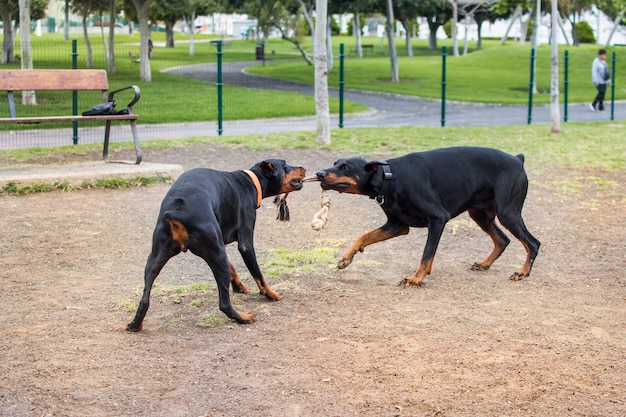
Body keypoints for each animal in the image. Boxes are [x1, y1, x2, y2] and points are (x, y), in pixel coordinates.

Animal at [124, 158, 304, 330]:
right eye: (285, 164)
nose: (304, 167)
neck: (251, 182)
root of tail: (176, 211)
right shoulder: (245, 244)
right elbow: (259, 276)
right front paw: (271, 294)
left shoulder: (219, 243)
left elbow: (233, 266)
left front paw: (238, 285)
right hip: (217, 255)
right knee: (223, 304)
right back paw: (244, 318)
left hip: (157, 258)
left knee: (145, 299)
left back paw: (134, 325)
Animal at [314, 146, 540, 286]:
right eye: (335, 162)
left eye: (346, 167)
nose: (319, 173)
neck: (391, 177)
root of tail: (518, 160)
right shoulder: (396, 226)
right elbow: (363, 236)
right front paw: (346, 258)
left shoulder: (438, 218)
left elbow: (426, 254)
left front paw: (416, 278)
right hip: (479, 214)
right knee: (503, 239)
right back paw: (484, 264)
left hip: (508, 212)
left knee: (533, 243)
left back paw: (522, 272)